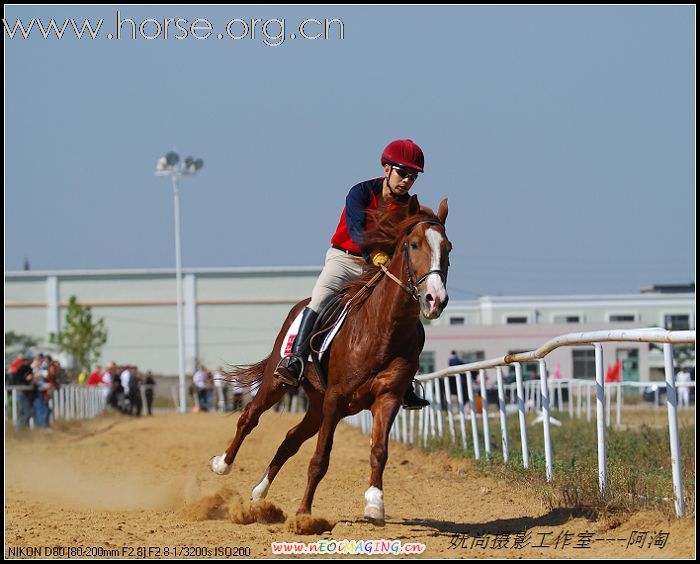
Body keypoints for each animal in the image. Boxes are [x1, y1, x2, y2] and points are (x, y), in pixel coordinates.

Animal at [208, 195, 452, 524]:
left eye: (448, 247)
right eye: (414, 245)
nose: (435, 299)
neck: (383, 328)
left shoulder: (387, 398)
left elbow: (379, 451)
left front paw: (374, 503)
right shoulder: (336, 398)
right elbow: (320, 459)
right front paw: (303, 515)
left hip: (316, 404)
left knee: (291, 439)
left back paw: (259, 493)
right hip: (279, 383)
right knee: (250, 417)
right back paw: (223, 464)